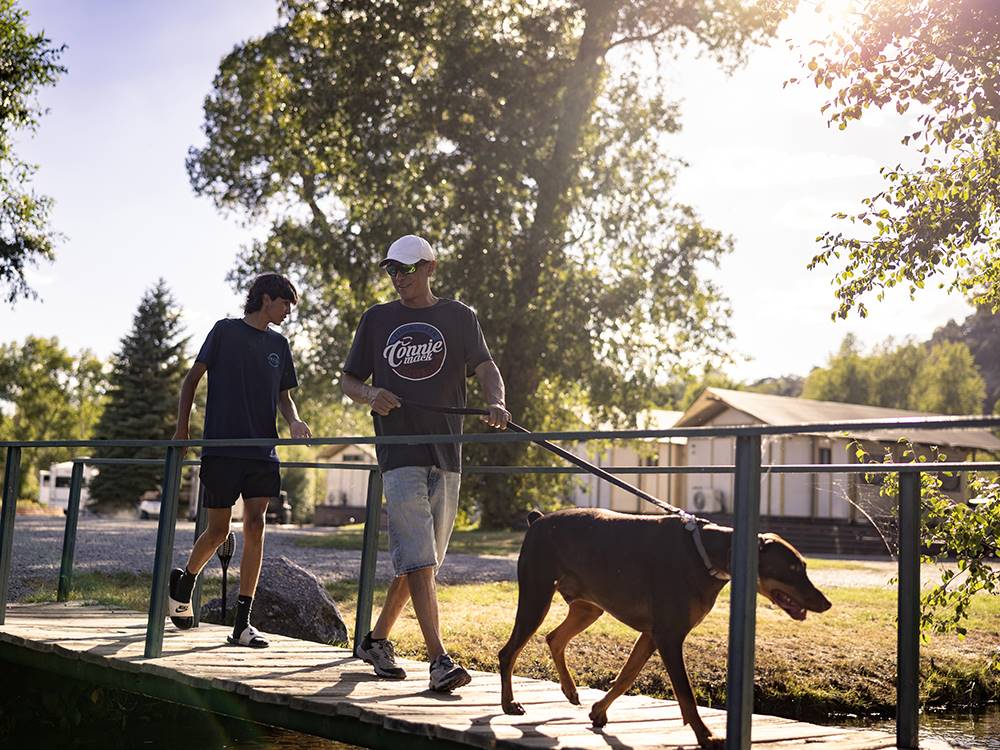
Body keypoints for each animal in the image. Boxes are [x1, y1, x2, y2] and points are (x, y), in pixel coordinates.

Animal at [496, 508, 832, 748]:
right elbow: (685, 693)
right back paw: (510, 704)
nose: (826, 603)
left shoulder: (652, 635)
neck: (707, 554)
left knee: (555, 638)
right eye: (793, 568)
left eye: (804, 566)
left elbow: (626, 676)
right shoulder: (669, 636)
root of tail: (538, 521)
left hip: (588, 607)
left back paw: (569, 690)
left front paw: (599, 710)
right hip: (536, 597)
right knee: (508, 652)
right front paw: (706, 735)